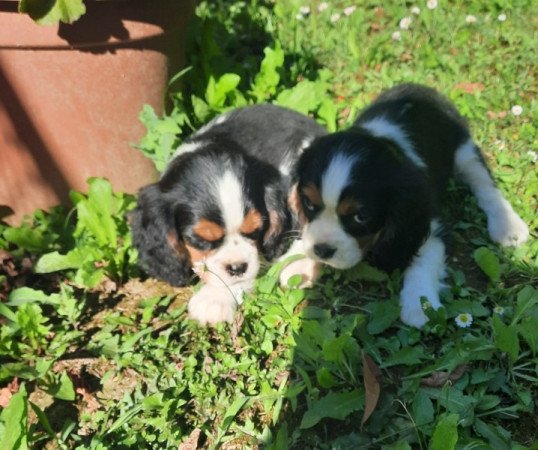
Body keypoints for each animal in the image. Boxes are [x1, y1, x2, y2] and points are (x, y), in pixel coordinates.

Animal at [284, 83, 528, 326]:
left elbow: (422, 260)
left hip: (464, 151)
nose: (322, 250)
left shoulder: (428, 220)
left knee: (485, 185)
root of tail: (420, 87)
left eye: (360, 217)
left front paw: (420, 305)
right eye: (309, 203)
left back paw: (507, 225)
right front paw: (298, 262)